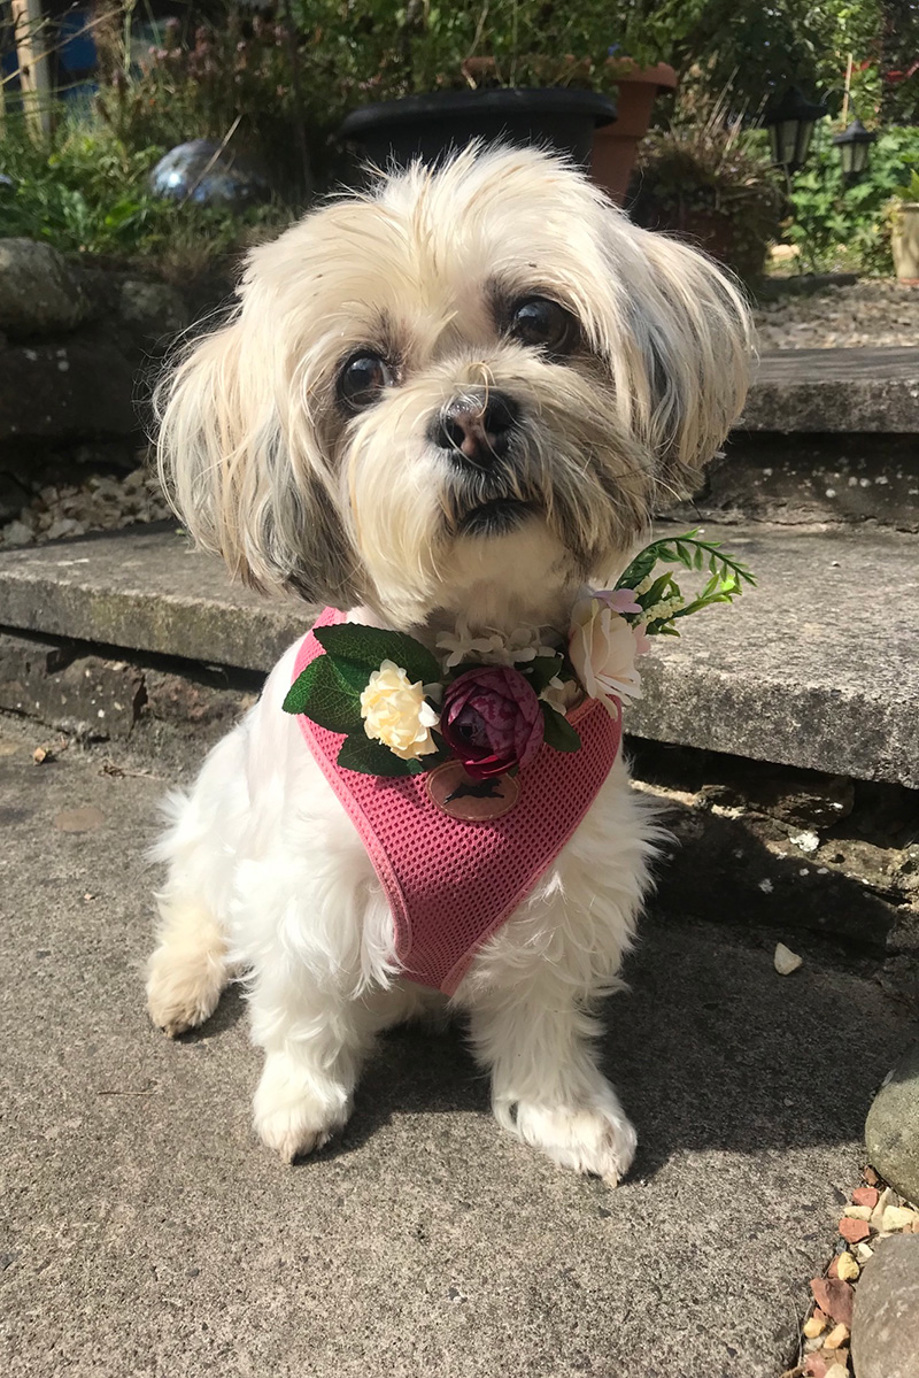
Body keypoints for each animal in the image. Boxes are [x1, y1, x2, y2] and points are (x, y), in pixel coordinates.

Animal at [141, 142, 749, 1185]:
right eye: (358, 374)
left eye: (539, 321)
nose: (473, 416)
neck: (464, 667)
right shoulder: (306, 888)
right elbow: (303, 1010)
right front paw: (297, 1099)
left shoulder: (567, 891)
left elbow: (543, 1014)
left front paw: (562, 1110)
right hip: (219, 821)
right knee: (195, 898)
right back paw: (181, 978)